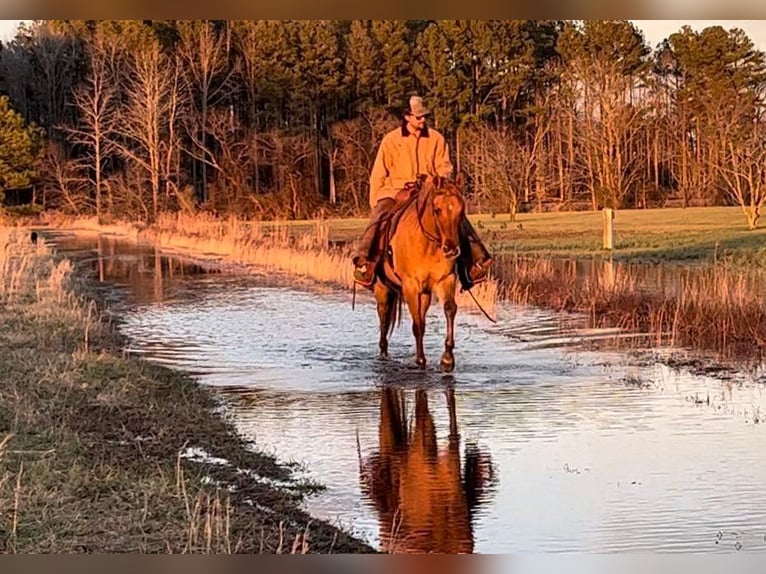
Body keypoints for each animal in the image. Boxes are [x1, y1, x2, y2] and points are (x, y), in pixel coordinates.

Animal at [376, 176, 464, 374]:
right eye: (437, 210)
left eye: (461, 210)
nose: (451, 249)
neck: (428, 244)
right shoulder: (411, 285)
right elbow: (417, 325)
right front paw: (420, 360)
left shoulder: (446, 279)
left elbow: (449, 309)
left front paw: (447, 359)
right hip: (383, 288)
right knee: (384, 315)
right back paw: (383, 353)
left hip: (425, 294)